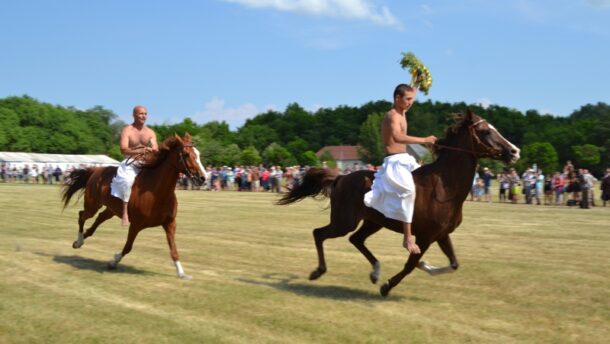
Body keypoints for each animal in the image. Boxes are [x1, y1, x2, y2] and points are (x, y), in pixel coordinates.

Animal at [61, 134, 204, 280]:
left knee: (99, 218)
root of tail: (96, 170)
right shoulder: (136, 225)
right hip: (93, 206)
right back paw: (79, 241)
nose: (202, 178)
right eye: (186, 154)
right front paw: (113, 261)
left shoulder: (170, 224)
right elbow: (128, 247)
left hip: (111, 209)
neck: (157, 193)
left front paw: (182, 273)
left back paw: (82, 238)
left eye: (198, 154)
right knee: (82, 215)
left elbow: (174, 250)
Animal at [278, 109, 520, 296]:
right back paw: (318, 271)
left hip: (372, 222)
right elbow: (410, 264)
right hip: (344, 222)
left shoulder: (441, 234)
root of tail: (341, 178)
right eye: (486, 131)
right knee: (319, 233)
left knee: (356, 239)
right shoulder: (425, 236)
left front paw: (424, 265)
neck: (445, 187)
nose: (514, 151)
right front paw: (388, 286)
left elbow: (453, 263)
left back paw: (375, 271)